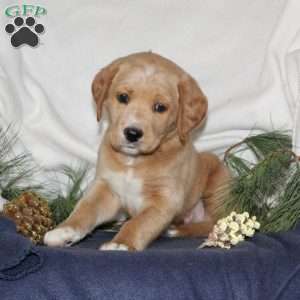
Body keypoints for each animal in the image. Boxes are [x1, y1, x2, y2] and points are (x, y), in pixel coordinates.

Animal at [43, 52, 229, 251]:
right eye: (123, 97)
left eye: (160, 107)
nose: (132, 133)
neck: (133, 162)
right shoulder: (106, 187)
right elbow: (86, 208)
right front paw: (65, 230)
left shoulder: (164, 200)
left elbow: (138, 223)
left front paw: (121, 243)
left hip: (216, 185)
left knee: (213, 223)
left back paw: (177, 230)